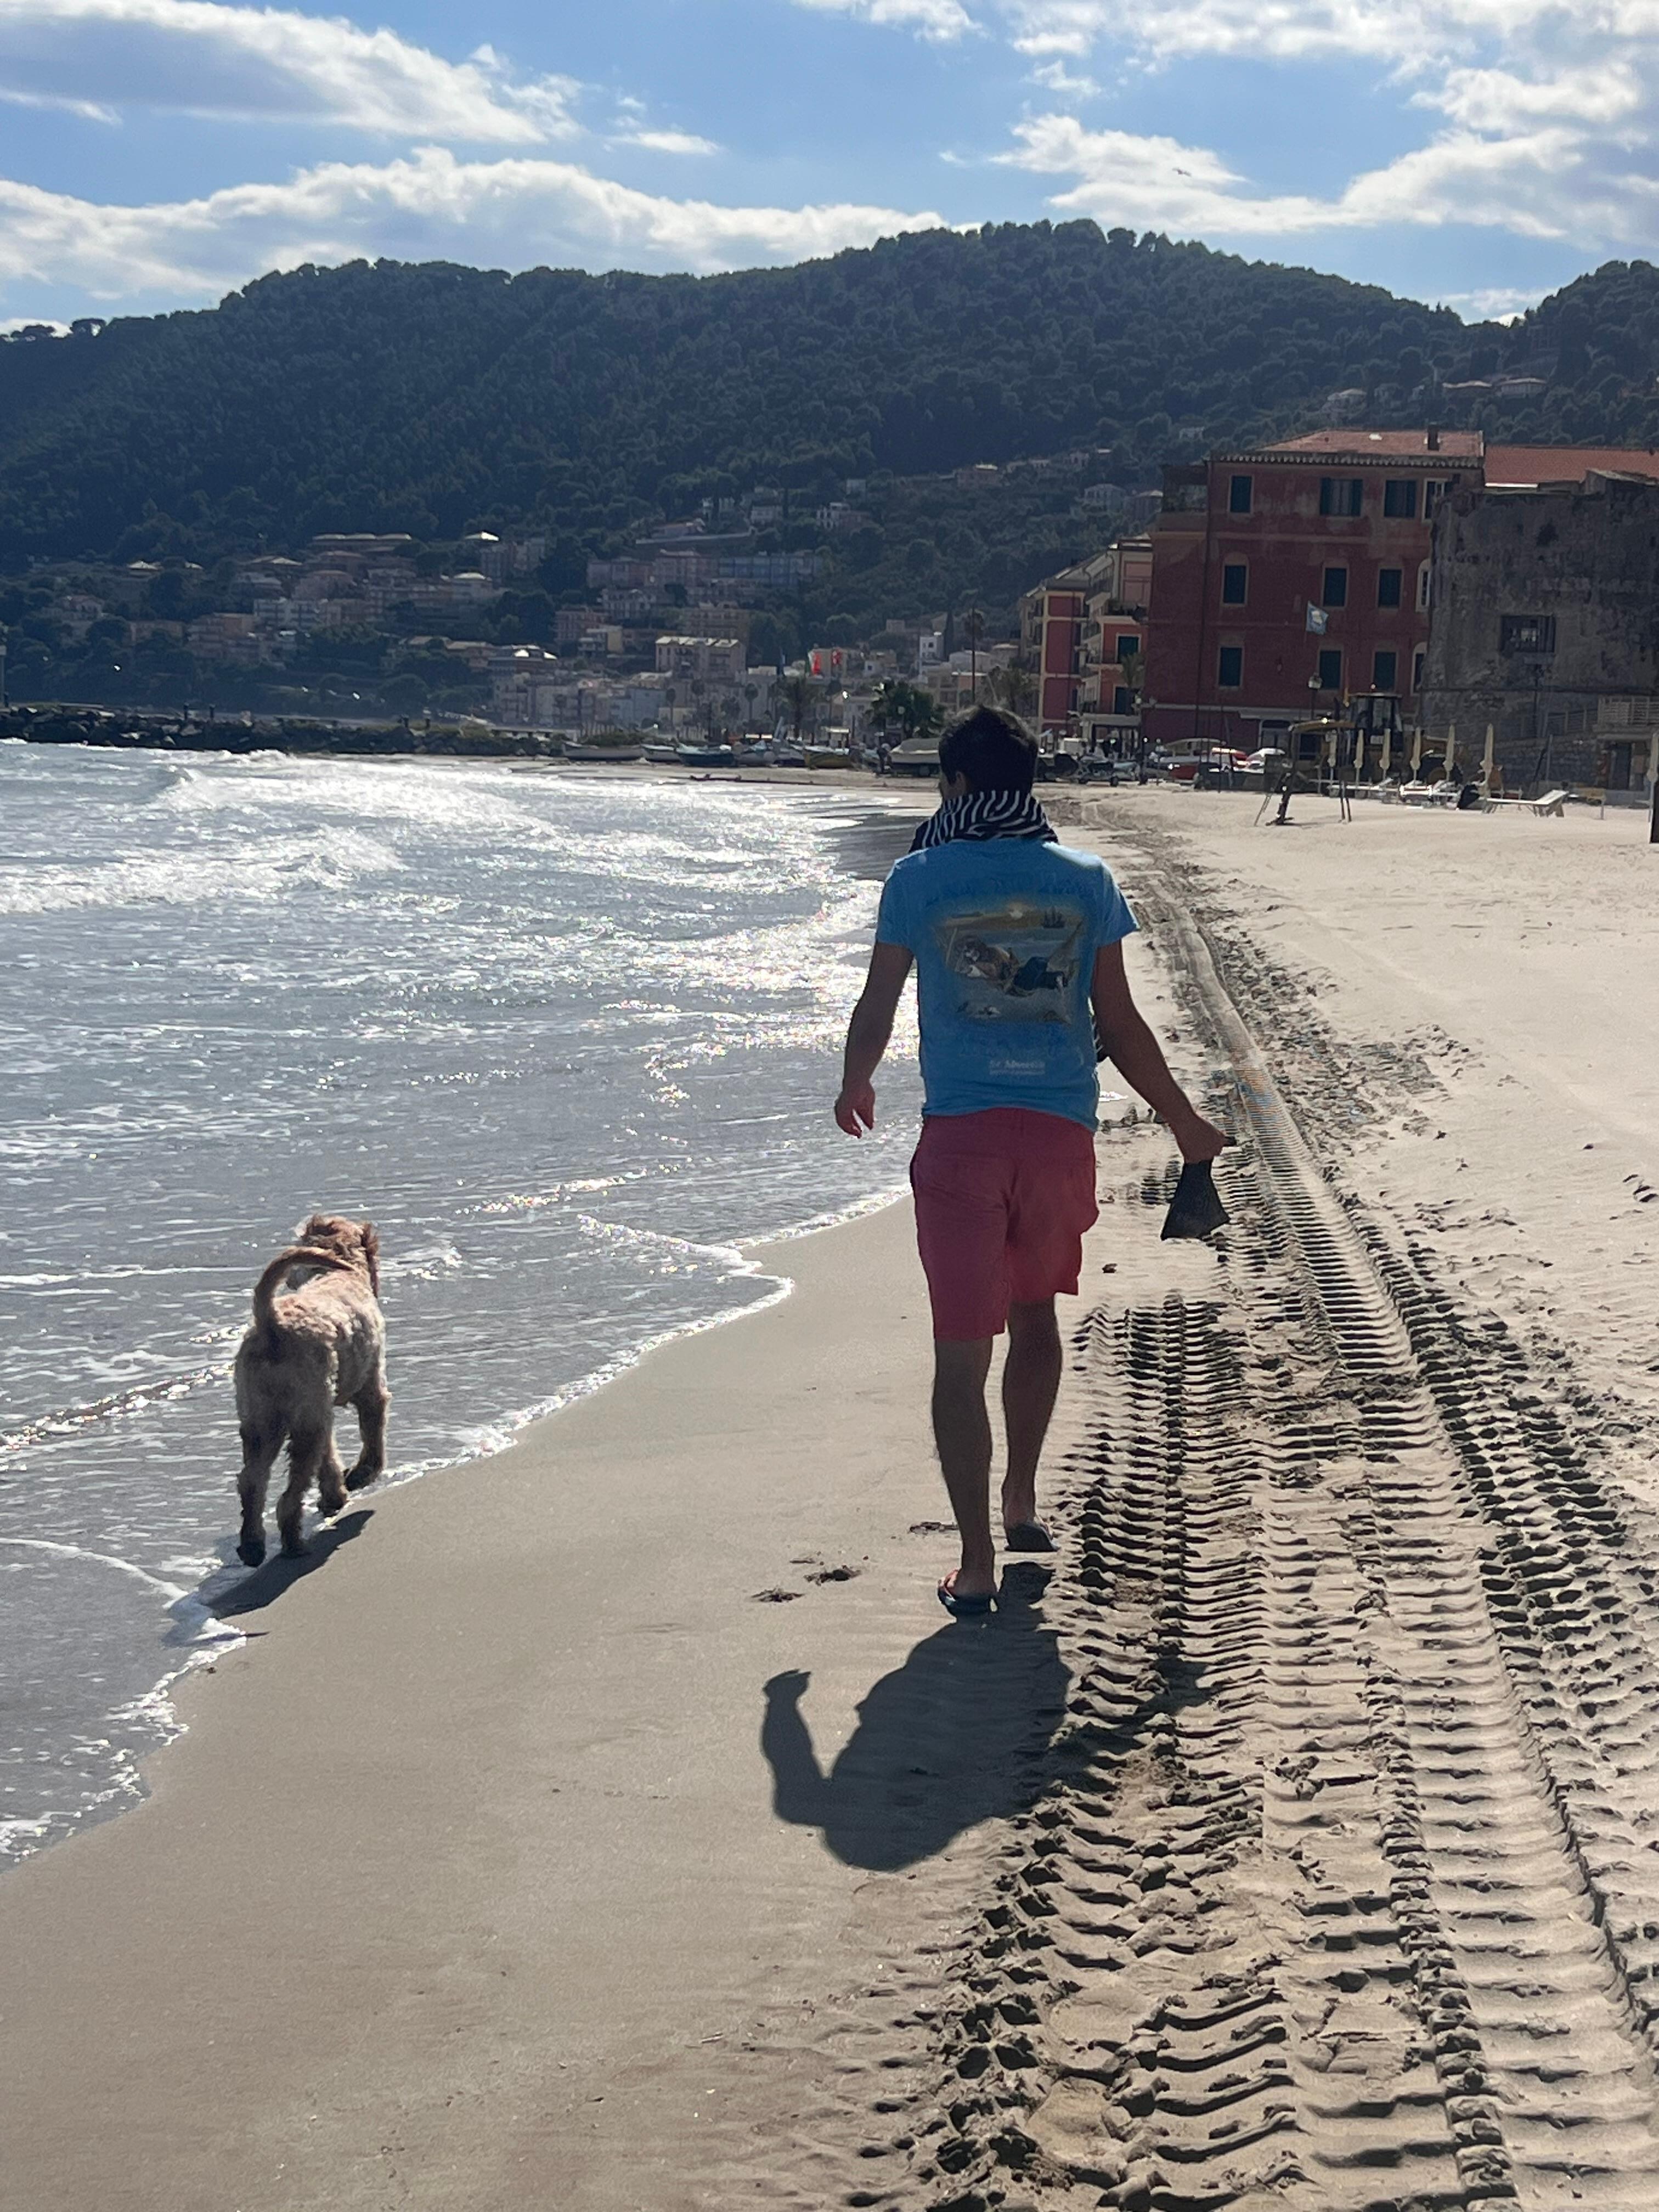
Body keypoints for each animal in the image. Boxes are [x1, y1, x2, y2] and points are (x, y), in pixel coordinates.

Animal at [233, 1213, 389, 1566]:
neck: (338, 1270)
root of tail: (272, 1325)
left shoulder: (323, 1407)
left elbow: (329, 1457)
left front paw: (334, 1496)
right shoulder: (371, 1387)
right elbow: (373, 1437)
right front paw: (360, 1476)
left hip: (262, 1420)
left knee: (251, 1482)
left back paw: (253, 1546)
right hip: (304, 1421)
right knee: (289, 1496)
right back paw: (293, 1544)